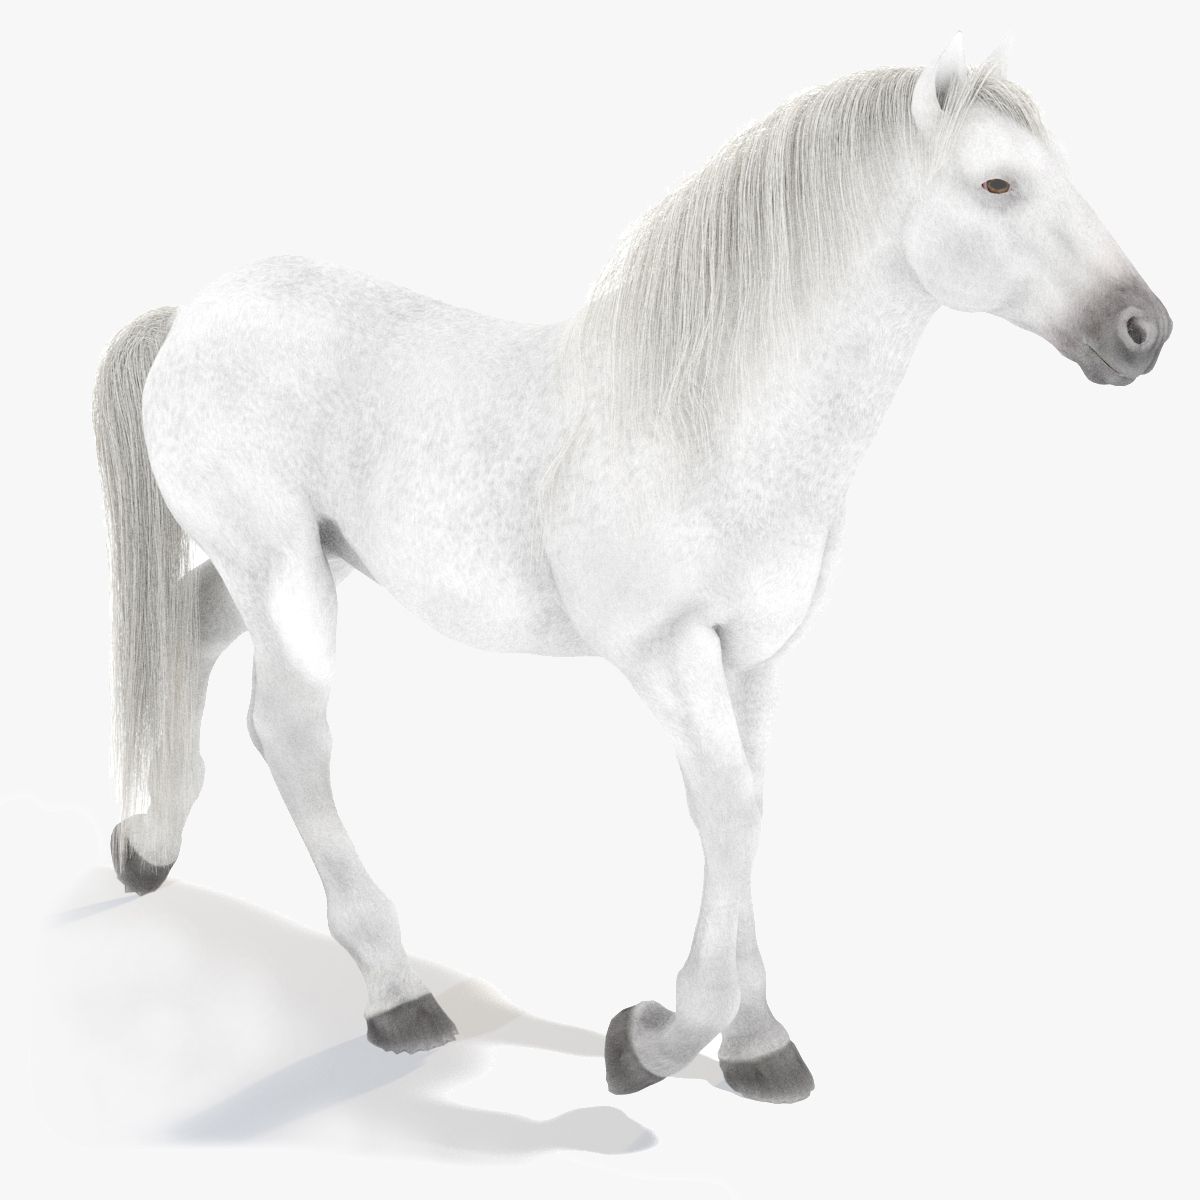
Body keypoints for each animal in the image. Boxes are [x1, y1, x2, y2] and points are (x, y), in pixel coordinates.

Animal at [93, 36, 1171, 1105]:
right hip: (278, 566)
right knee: (292, 732)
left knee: (188, 630)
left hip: (296, 561)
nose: (1144, 330)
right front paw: (652, 1040)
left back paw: (147, 847)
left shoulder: (754, 655)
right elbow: (724, 808)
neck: (715, 420)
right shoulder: (666, 652)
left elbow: (749, 812)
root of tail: (193, 315)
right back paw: (397, 994)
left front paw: (756, 1044)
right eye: (998, 183)